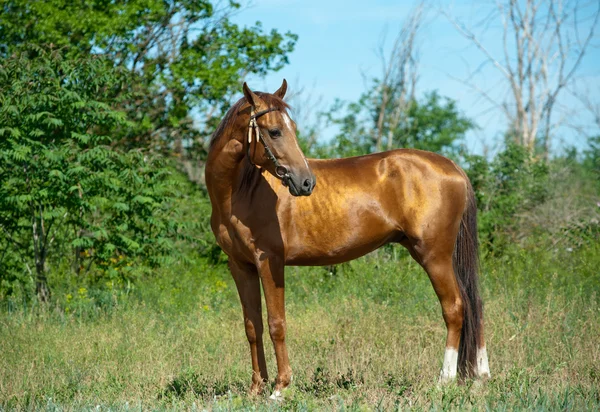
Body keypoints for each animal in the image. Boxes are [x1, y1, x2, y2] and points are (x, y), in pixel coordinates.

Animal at [204, 79, 490, 398]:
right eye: (275, 131)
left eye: (291, 128)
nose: (306, 182)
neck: (243, 192)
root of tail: (453, 167)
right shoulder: (241, 266)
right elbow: (252, 326)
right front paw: (256, 388)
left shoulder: (270, 262)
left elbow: (277, 323)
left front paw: (280, 388)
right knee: (474, 303)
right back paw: (480, 376)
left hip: (434, 256)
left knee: (455, 307)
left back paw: (445, 379)